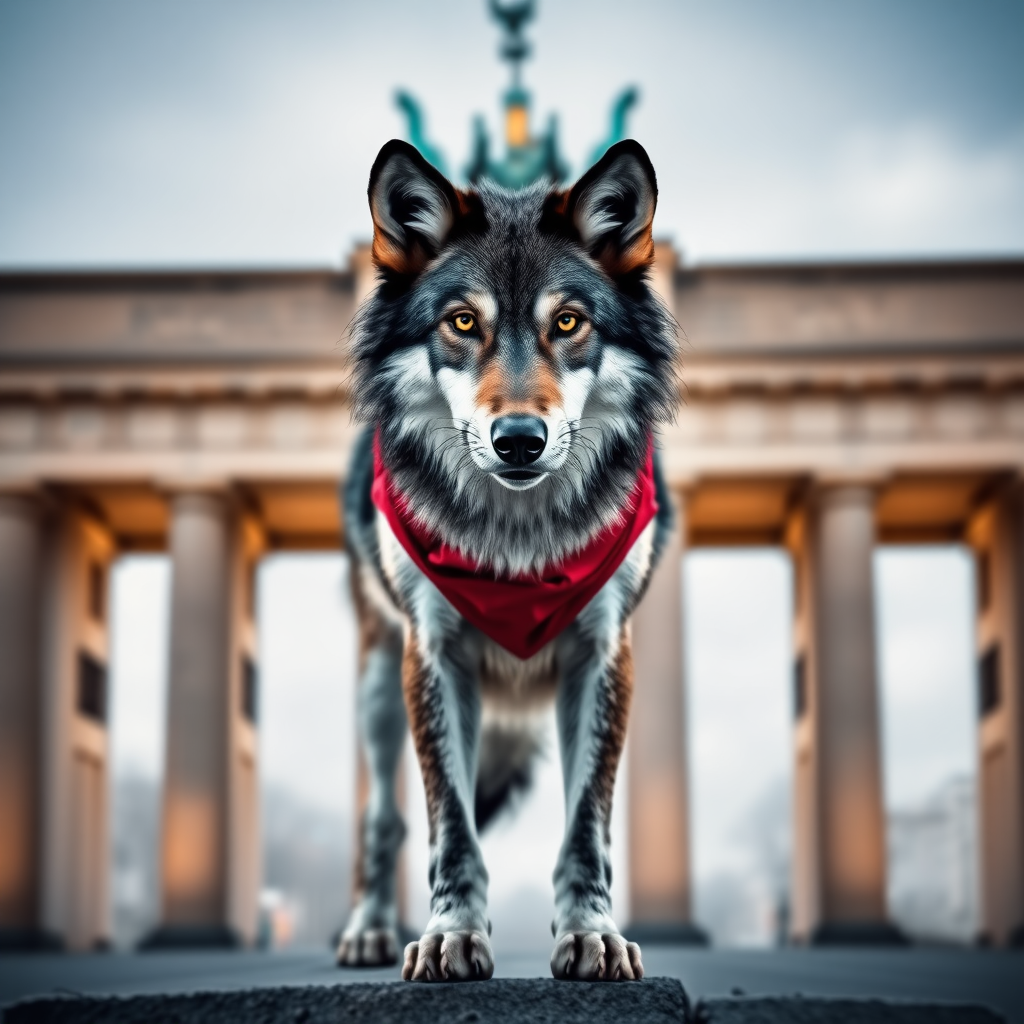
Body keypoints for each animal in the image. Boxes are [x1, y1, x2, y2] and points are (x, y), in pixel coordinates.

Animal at [337, 140, 679, 978]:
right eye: (463, 322)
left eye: (569, 322)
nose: (519, 440)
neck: (518, 549)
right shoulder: (434, 656)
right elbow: (449, 827)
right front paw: (451, 936)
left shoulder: (602, 654)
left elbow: (586, 827)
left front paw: (590, 935)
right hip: (377, 687)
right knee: (383, 819)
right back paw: (368, 929)